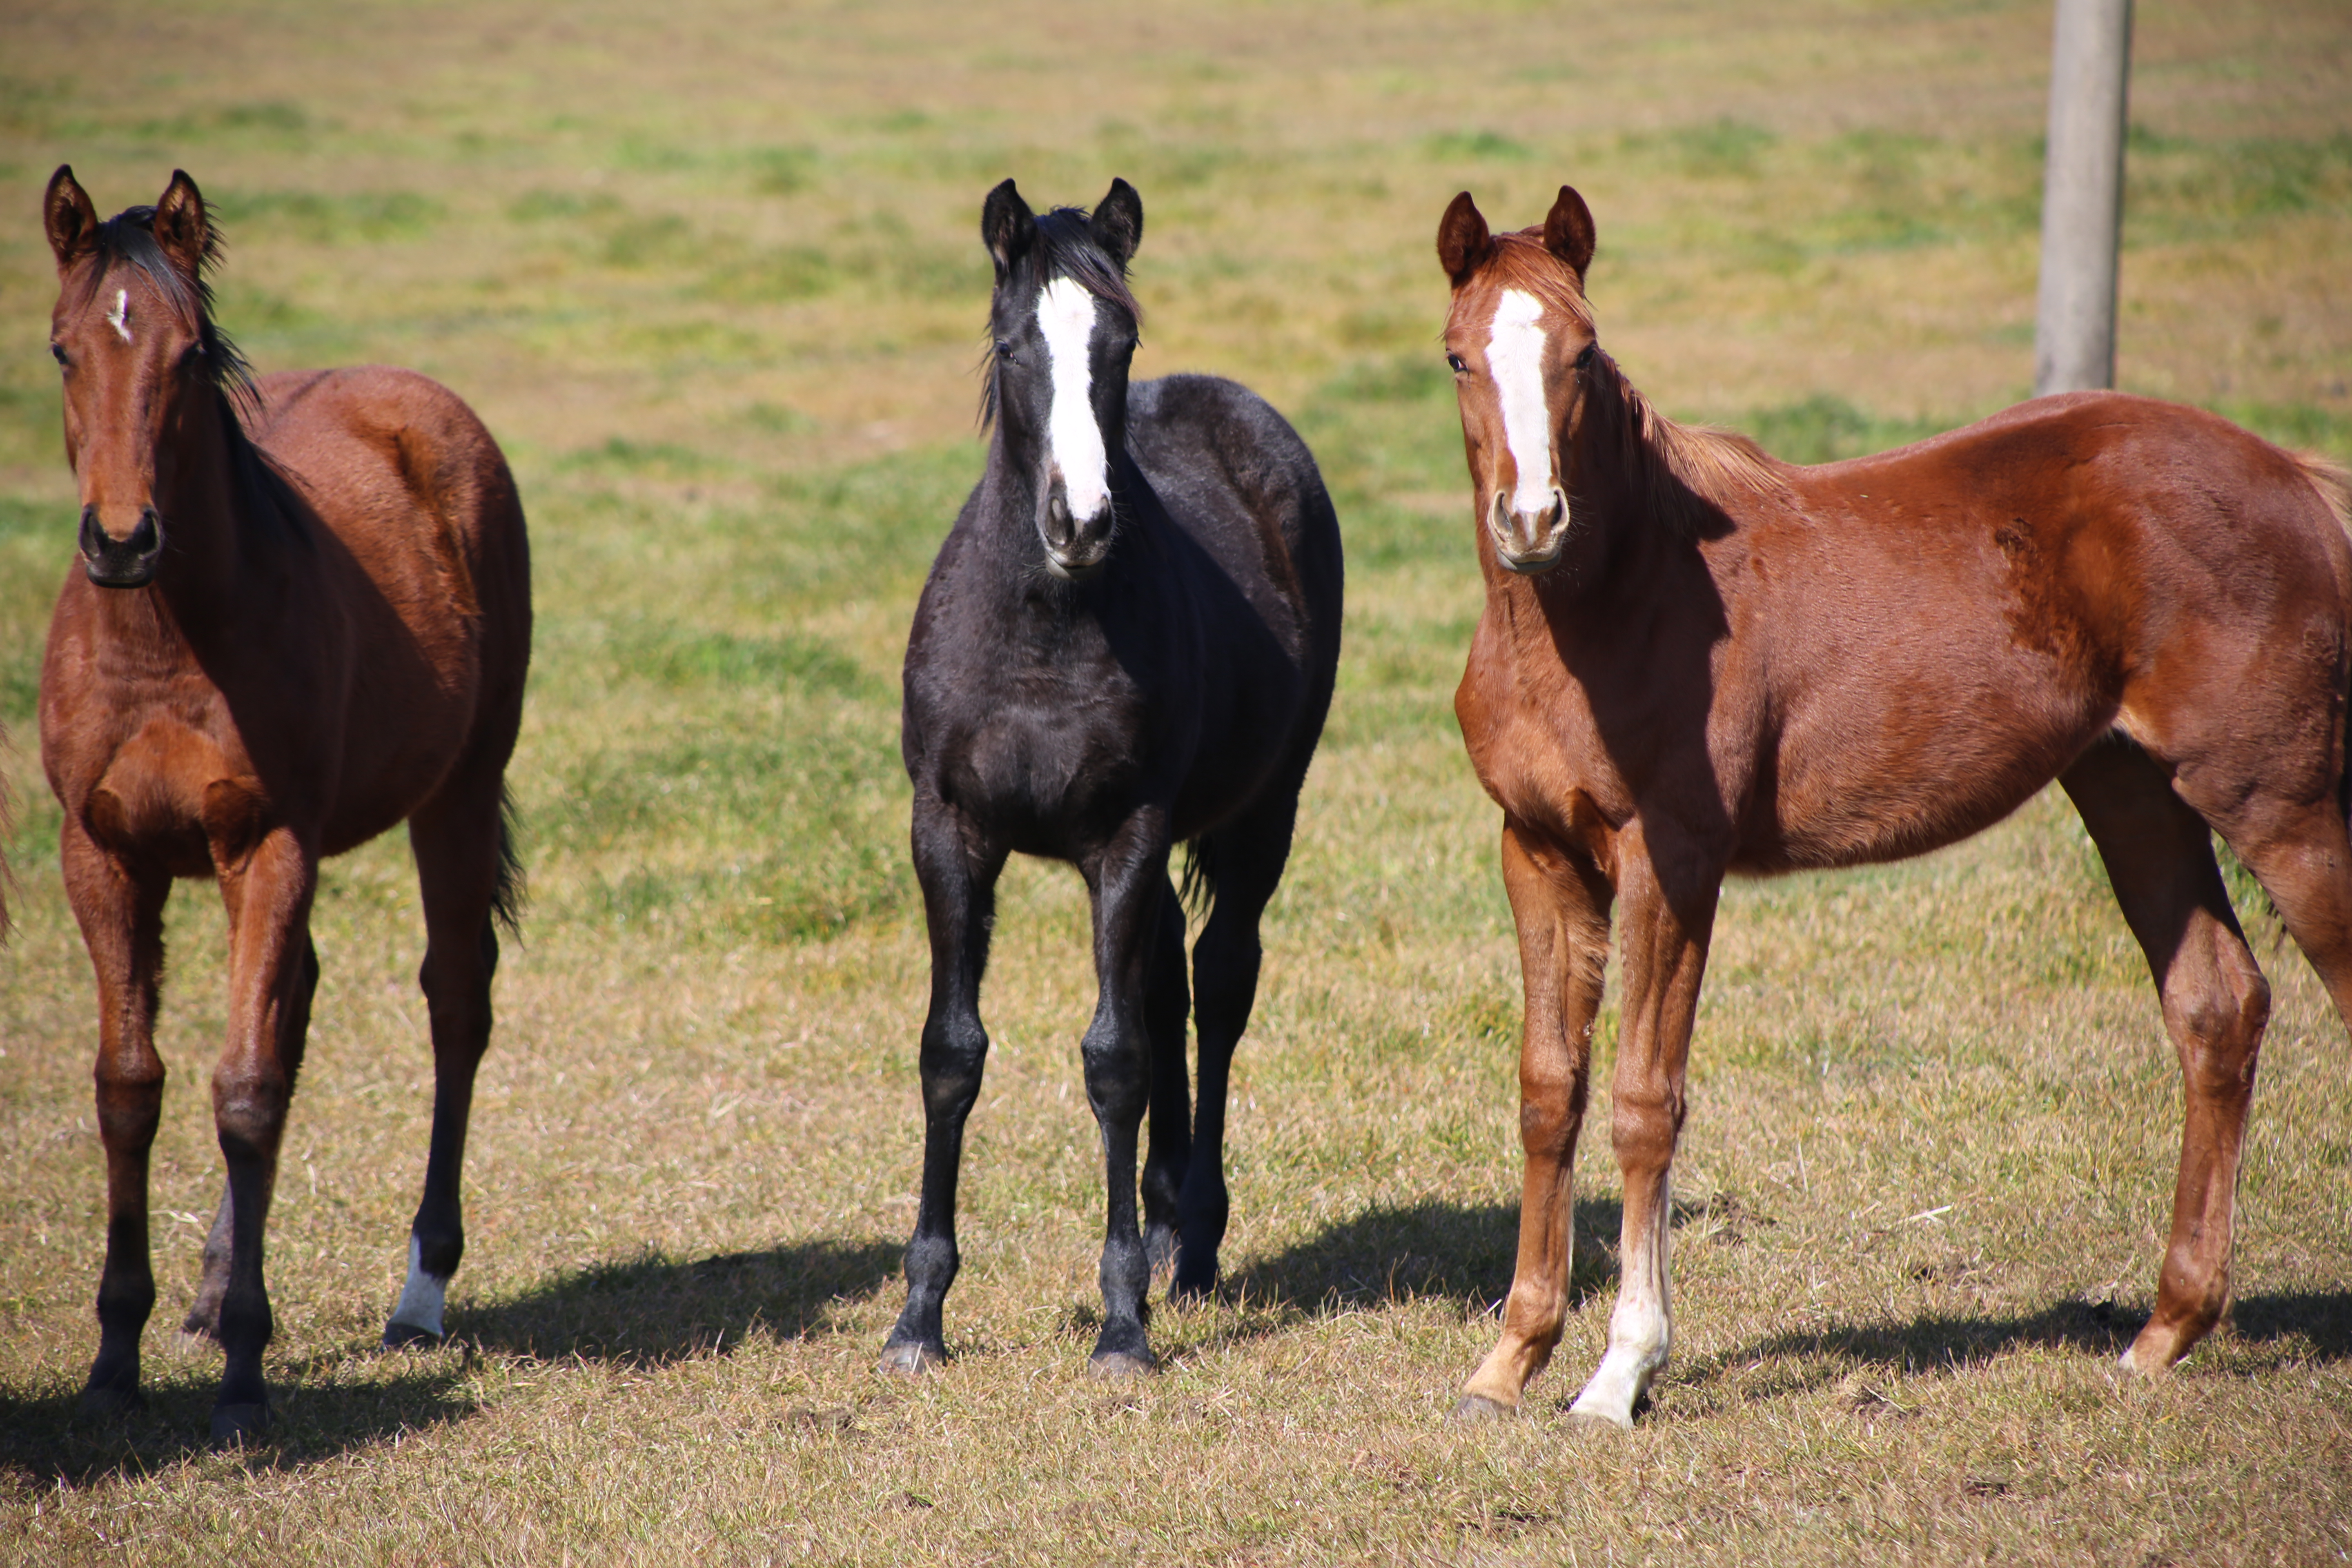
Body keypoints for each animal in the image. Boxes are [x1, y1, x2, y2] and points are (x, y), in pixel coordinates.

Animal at [39, 165, 531, 1439]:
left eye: (188, 355)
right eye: (63, 350)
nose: (123, 541)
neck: (167, 636)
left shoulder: (267, 841)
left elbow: (248, 1088)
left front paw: (246, 1380)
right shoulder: (101, 855)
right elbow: (132, 1087)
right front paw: (117, 1356)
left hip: (460, 790)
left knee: (454, 1005)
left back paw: (420, 1293)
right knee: (297, 1001)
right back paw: (214, 1293)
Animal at [884, 175, 1345, 1373]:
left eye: (1119, 342)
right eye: (1012, 347)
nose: (1081, 521)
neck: (1044, 628)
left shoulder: (1127, 835)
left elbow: (1115, 1059)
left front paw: (1123, 1321)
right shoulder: (947, 831)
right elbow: (951, 1053)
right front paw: (918, 1316)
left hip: (1261, 815)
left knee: (1219, 984)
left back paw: (1197, 1240)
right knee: (1169, 977)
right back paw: (1173, 1210)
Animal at [1430, 187, 2352, 1439]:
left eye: (1582, 351)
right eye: (1458, 356)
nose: (1532, 521)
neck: (1614, 598)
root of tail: (2294, 475)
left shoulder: (1671, 857)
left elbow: (1640, 1100)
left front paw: (1621, 1373)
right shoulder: (1536, 849)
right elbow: (1545, 1092)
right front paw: (1510, 1358)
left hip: (2281, 804)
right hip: (2131, 790)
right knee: (2217, 1005)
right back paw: (2160, 1335)